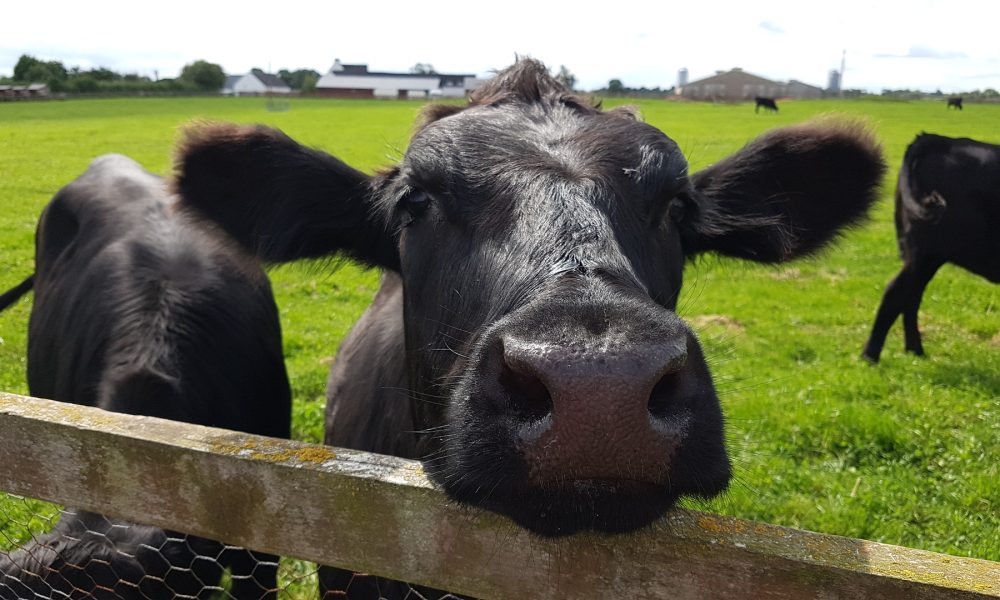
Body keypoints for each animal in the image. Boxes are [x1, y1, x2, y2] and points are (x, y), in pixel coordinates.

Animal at [864, 134, 996, 364]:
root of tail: (938, 140)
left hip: (922, 256)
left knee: (911, 297)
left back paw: (915, 350)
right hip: (926, 253)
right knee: (896, 292)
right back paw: (870, 356)